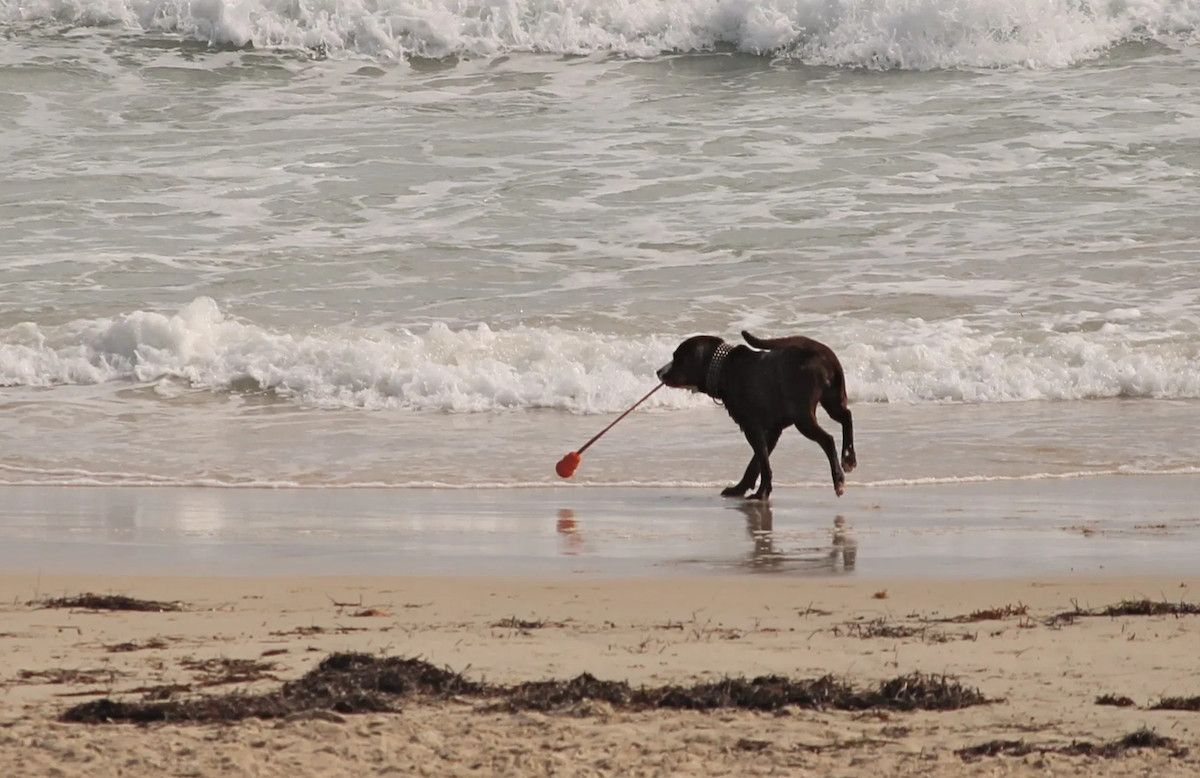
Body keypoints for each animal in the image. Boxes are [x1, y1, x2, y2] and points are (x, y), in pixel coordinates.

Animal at [657, 331, 854, 501]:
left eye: (677, 357)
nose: (658, 372)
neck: (724, 368)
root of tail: (820, 352)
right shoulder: (772, 431)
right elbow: (756, 464)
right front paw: (740, 488)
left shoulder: (752, 428)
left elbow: (763, 463)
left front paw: (762, 493)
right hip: (832, 401)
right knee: (846, 416)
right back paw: (848, 457)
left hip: (803, 417)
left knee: (827, 439)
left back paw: (838, 479)